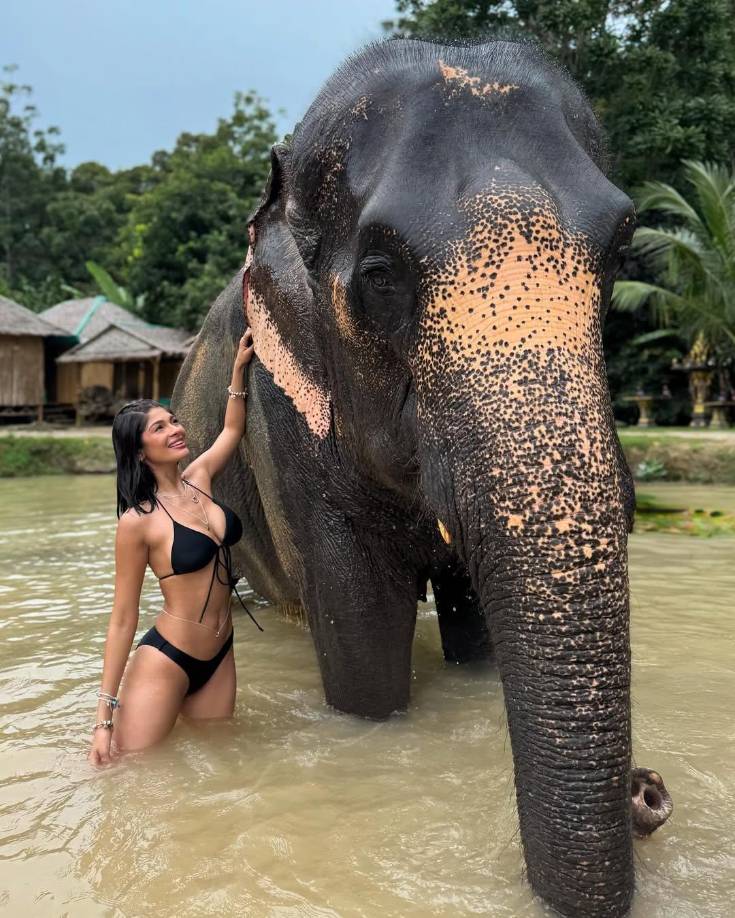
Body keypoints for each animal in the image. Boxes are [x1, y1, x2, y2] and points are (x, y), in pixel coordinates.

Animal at [173, 38, 673, 918]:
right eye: (379, 273)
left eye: (618, 255)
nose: (647, 792)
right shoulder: (286, 427)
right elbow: (366, 665)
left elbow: (476, 634)